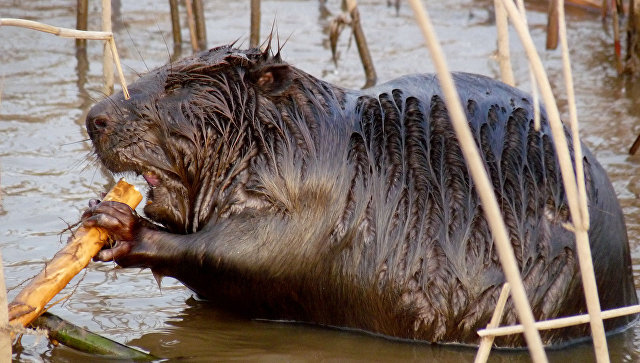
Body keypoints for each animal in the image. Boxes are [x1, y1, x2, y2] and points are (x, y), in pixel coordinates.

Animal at [84, 44, 636, 348]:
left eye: (176, 86)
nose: (95, 117)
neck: (305, 140)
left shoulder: (314, 199)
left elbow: (254, 255)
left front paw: (119, 224)